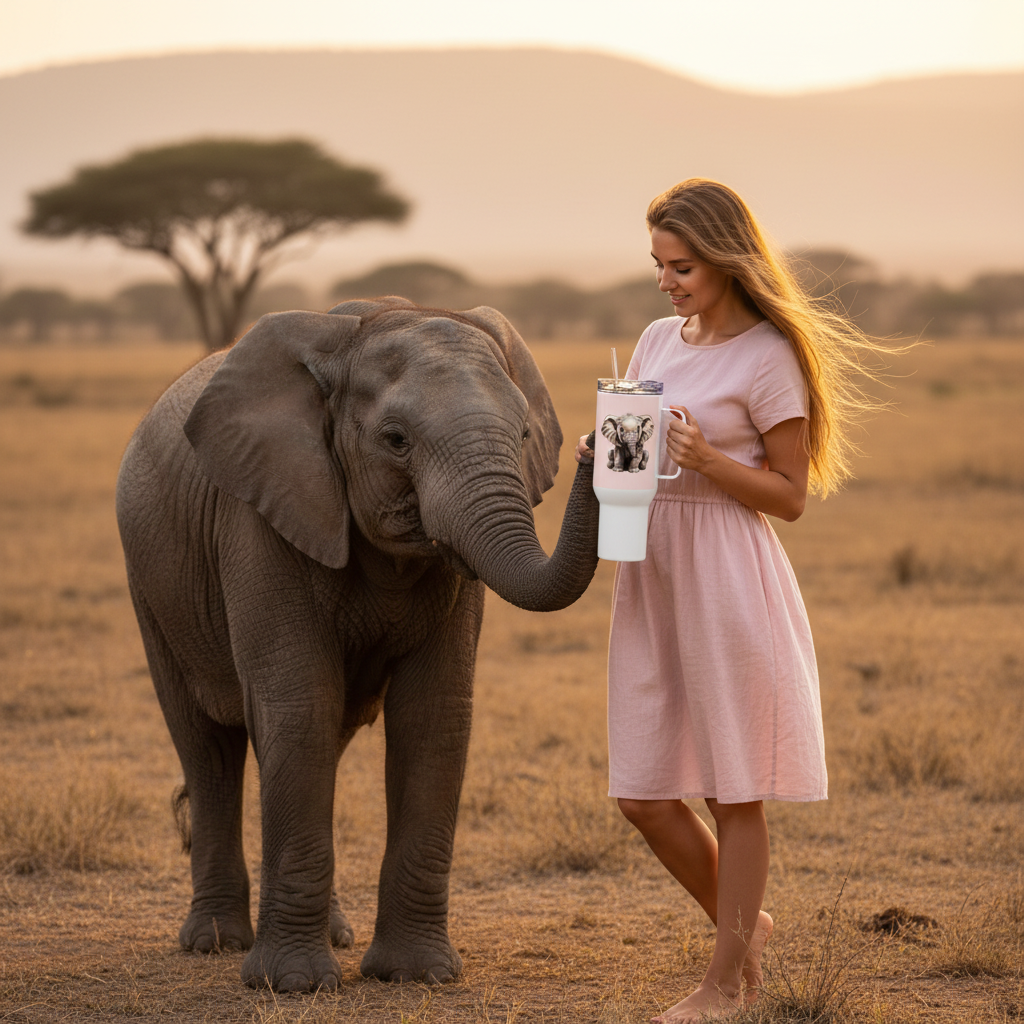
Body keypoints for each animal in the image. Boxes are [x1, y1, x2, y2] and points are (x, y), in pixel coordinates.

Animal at [115, 297, 600, 992]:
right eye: (395, 440)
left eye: (526, 435)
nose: (599, 443)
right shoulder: (259, 516)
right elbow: (298, 706)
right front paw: (292, 986)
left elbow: (433, 714)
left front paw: (418, 976)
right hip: (150, 583)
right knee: (208, 748)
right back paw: (214, 942)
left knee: (328, 739)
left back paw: (335, 935)